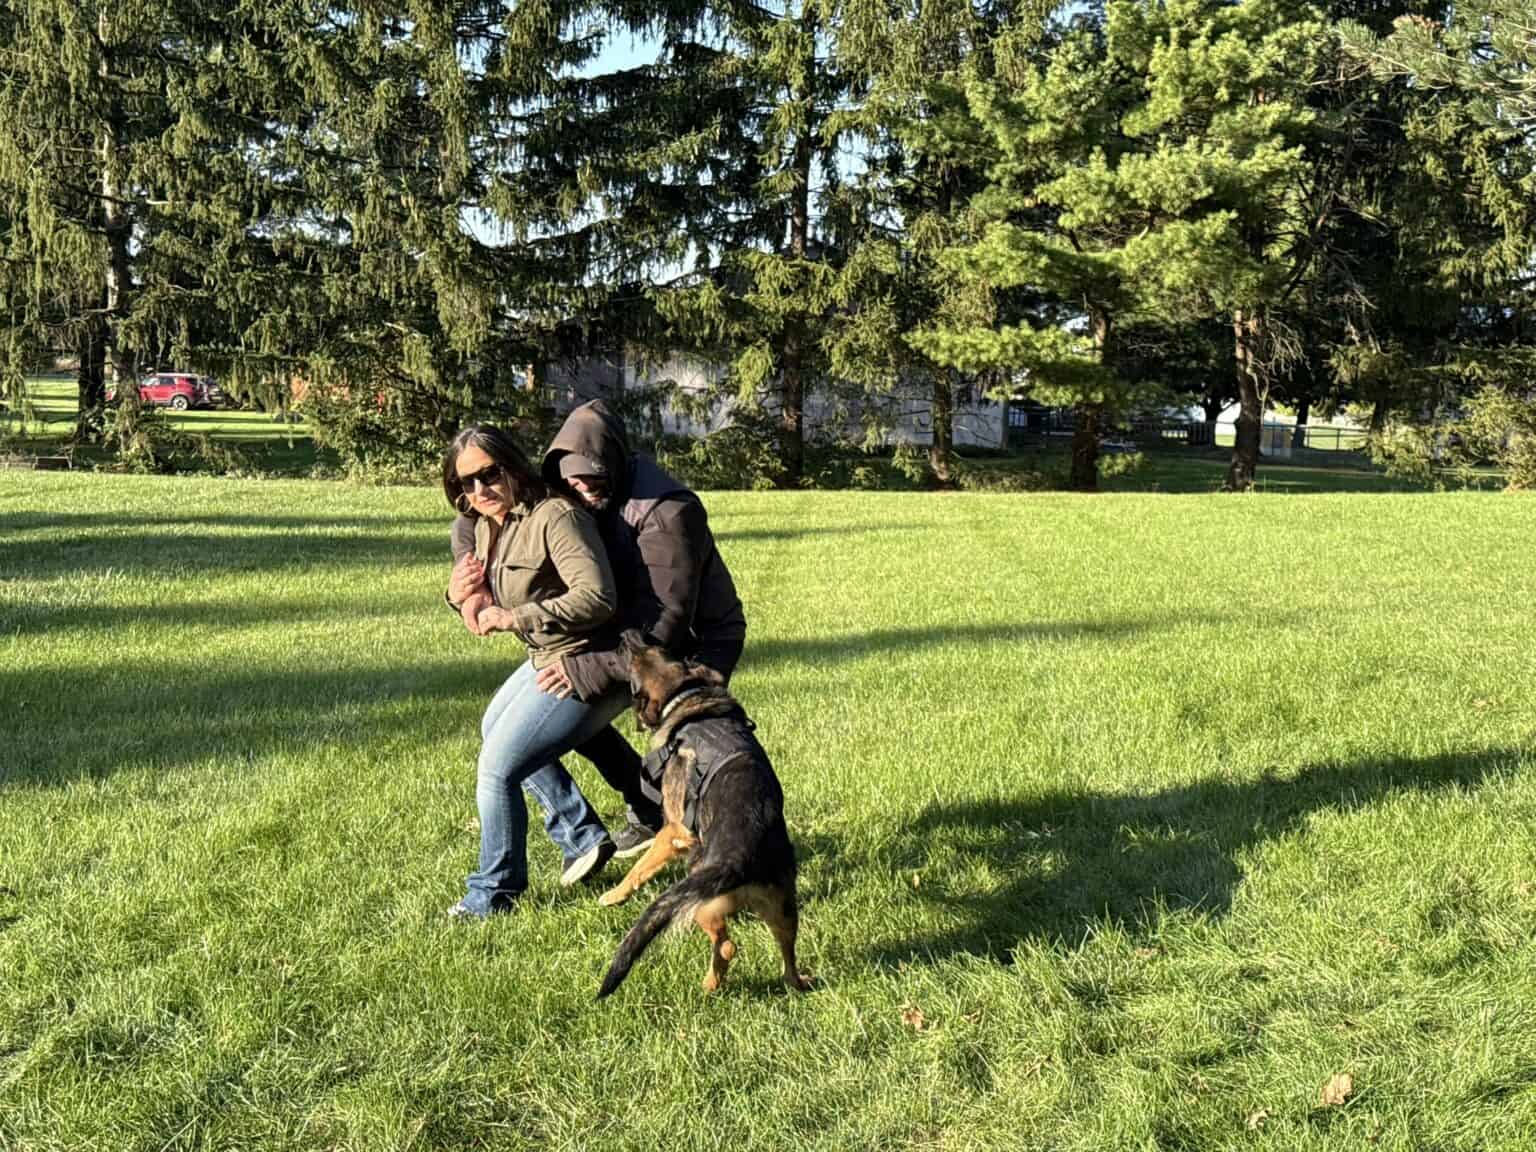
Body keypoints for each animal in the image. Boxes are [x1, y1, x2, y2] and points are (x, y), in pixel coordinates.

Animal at [595, 642, 817, 1001]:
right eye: (658, 648)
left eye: (634, 666)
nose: (627, 638)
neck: (684, 695)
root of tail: (739, 860)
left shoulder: (673, 830)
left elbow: (639, 868)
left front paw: (615, 894)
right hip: (783, 911)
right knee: (786, 957)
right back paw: (791, 982)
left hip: (700, 905)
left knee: (727, 945)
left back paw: (710, 985)